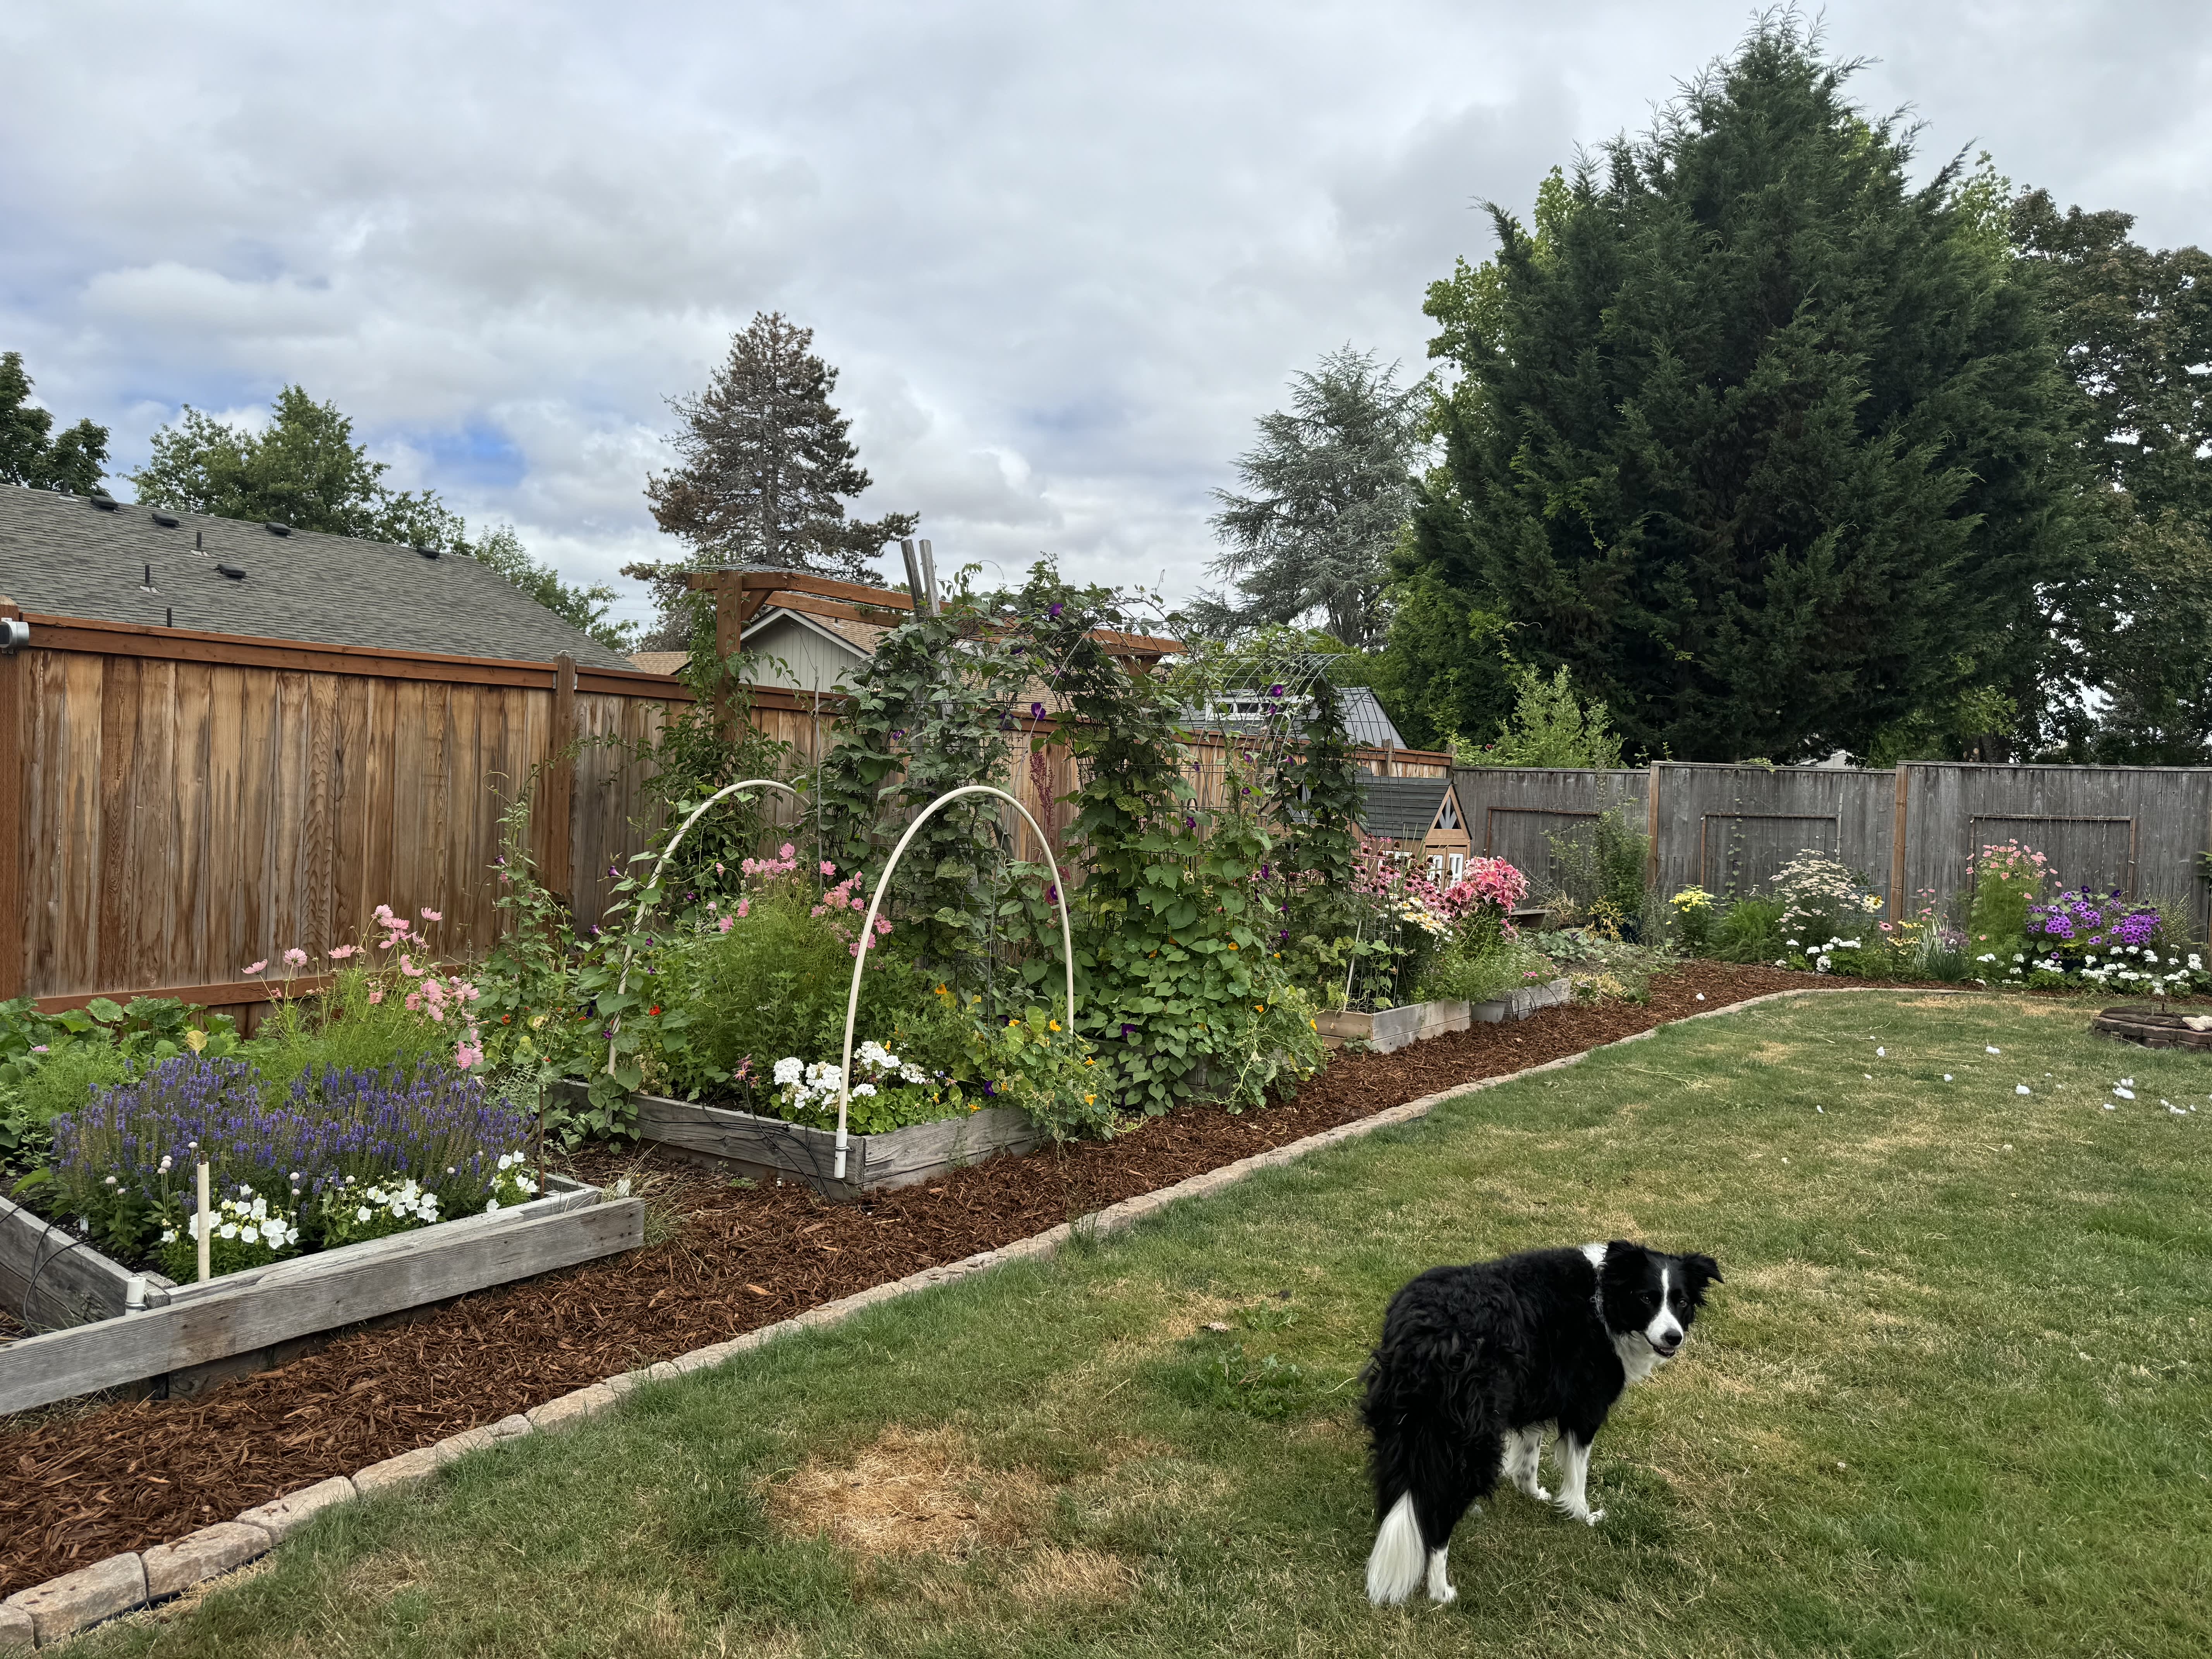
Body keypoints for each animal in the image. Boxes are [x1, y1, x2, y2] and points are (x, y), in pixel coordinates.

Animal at [1361, 1239, 1722, 1606]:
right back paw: (1441, 1591)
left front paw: (1534, 1494)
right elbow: (1578, 1473)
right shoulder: (1587, 1409)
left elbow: (1527, 1461)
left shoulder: (1536, 1393)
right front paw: (1583, 1515)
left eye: (1681, 1302)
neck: (1604, 1298)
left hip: (1402, 1425)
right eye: (1647, 1298)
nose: (1674, 1337)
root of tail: (1427, 1336)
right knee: (1438, 1518)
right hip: (1472, 1437)